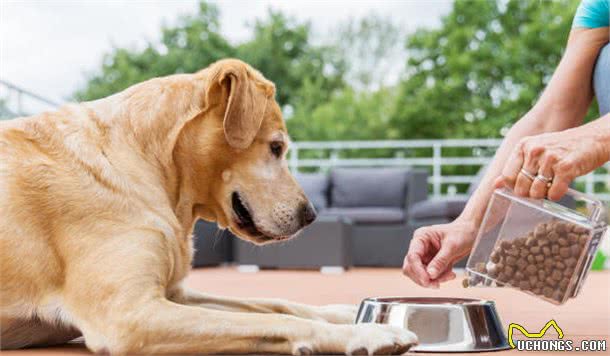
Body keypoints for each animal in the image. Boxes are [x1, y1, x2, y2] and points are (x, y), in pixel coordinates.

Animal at [0, 59, 416, 354]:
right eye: (276, 147)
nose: (311, 215)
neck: (150, 164)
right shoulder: (128, 315)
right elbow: (271, 323)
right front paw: (365, 333)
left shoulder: (174, 295)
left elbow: (275, 304)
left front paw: (345, 313)